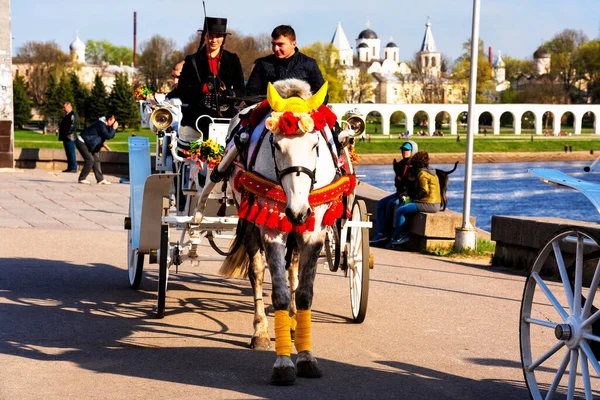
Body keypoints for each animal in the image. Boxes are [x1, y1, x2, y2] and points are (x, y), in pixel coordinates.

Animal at [219, 79, 352, 384]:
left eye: (315, 144)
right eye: (277, 145)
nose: (297, 211)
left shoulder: (313, 231)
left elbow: (303, 293)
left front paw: (306, 356)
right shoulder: (271, 229)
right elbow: (278, 292)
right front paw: (283, 363)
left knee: (292, 269)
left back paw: (293, 323)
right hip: (252, 223)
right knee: (257, 273)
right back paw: (260, 331)